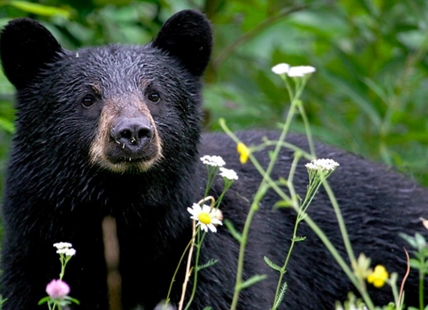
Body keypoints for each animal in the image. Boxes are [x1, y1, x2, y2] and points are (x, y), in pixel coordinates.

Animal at [0, 8, 428, 308]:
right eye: (88, 99)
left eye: (154, 94)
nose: (133, 134)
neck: (123, 210)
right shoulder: (32, 243)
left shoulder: (210, 248)